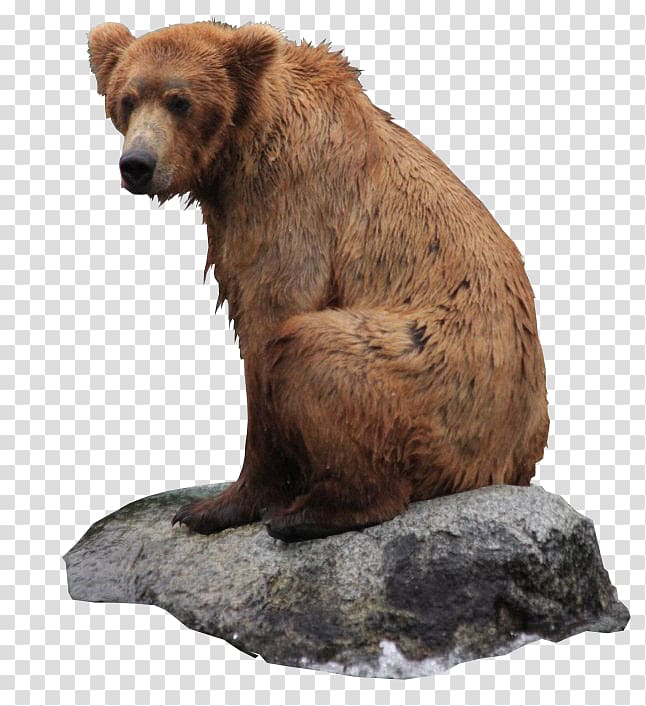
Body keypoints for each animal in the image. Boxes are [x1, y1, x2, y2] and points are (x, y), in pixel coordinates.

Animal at [88, 20, 549, 542]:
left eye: (179, 100)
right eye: (127, 99)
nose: (137, 165)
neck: (237, 150)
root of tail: (507, 464)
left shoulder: (290, 199)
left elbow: (271, 323)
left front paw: (216, 506)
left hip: (440, 383)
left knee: (315, 345)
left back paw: (311, 514)